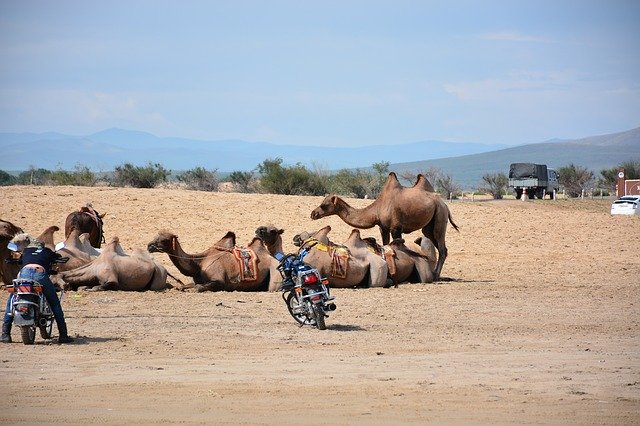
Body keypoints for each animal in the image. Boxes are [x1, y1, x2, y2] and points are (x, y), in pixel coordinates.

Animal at [150, 230, 282, 292]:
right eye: (156, 236)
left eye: (165, 240)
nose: (149, 246)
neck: (199, 263)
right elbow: (185, 286)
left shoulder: (219, 282)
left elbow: (198, 287)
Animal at [312, 171, 458, 282]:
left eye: (324, 205)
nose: (313, 213)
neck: (376, 209)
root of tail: (444, 203)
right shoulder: (383, 228)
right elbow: (385, 245)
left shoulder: (396, 228)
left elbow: (397, 246)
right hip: (429, 226)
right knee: (437, 243)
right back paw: (435, 273)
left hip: (440, 215)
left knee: (442, 247)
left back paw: (436, 275)